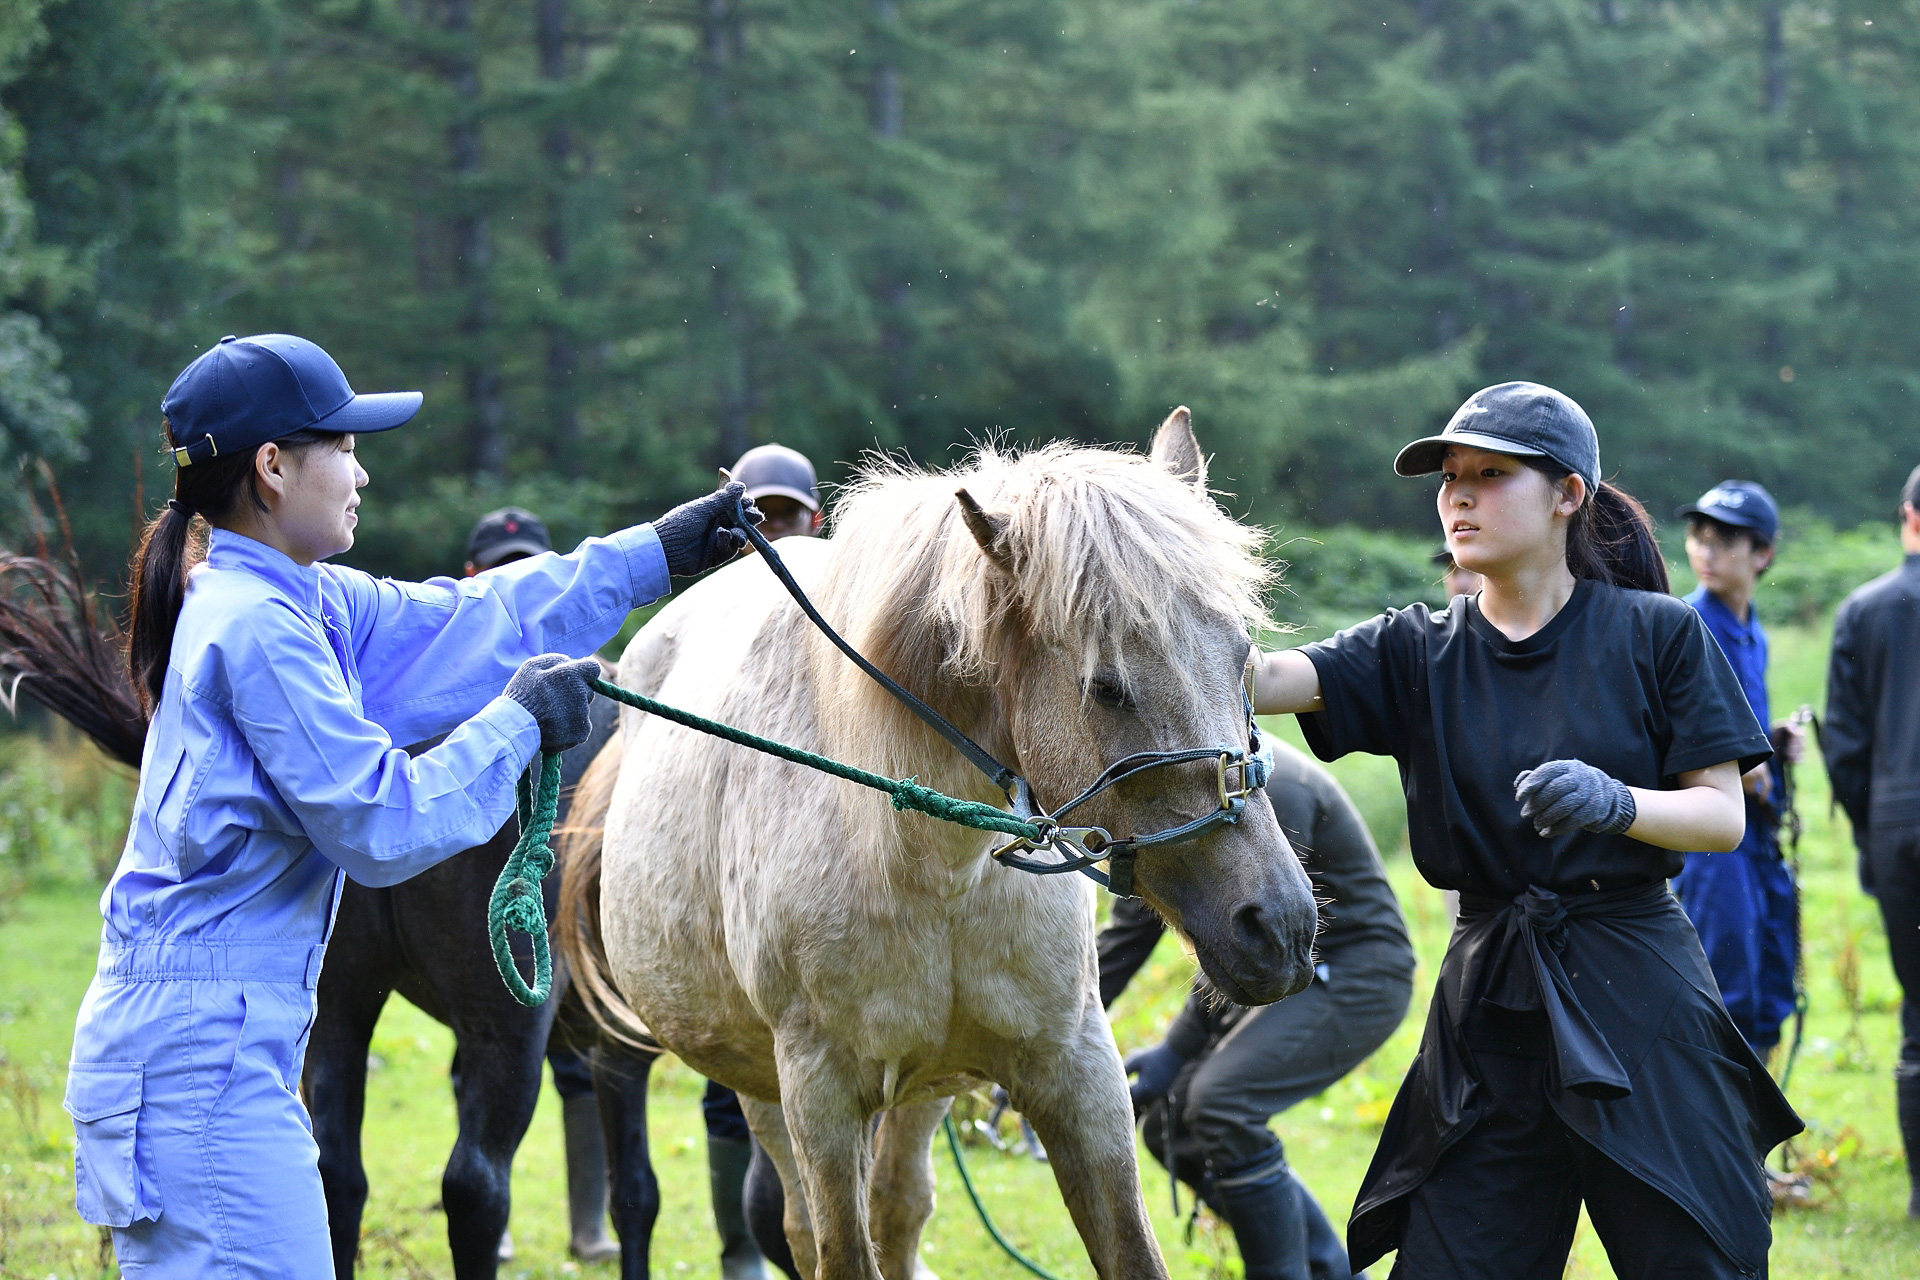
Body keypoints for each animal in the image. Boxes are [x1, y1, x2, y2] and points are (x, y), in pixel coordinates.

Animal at [566, 412, 1320, 1279]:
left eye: (1244, 659)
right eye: (1106, 687)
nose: (1279, 925)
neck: (933, 869)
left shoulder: (1077, 1073)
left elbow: (1127, 1249)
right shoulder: (820, 1097)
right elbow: (839, 1247)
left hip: (925, 1090)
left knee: (900, 1210)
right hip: (764, 1087)